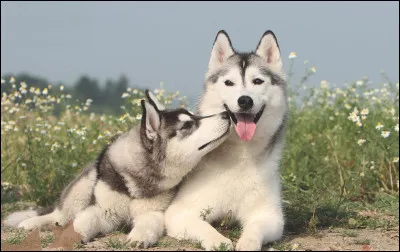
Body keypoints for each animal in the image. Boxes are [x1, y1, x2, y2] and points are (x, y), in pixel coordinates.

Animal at [4, 90, 231, 248]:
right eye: (187, 126)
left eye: (195, 117)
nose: (227, 114)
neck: (136, 180)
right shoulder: (101, 210)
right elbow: (82, 221)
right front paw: (71, 235)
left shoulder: (154, 212)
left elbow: (147, 224)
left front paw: (138, 237)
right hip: (82, 187)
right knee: (60, 215)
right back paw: (33, 222)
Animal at [164, 30, 290, 251]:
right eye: (229, 83)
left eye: (258, 81)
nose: (245, 100)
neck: (240, 155)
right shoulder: (179, 213)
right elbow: (204, 227)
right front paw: (218, 241)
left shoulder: (271, 216)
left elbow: (255, 228)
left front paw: (247, 243)